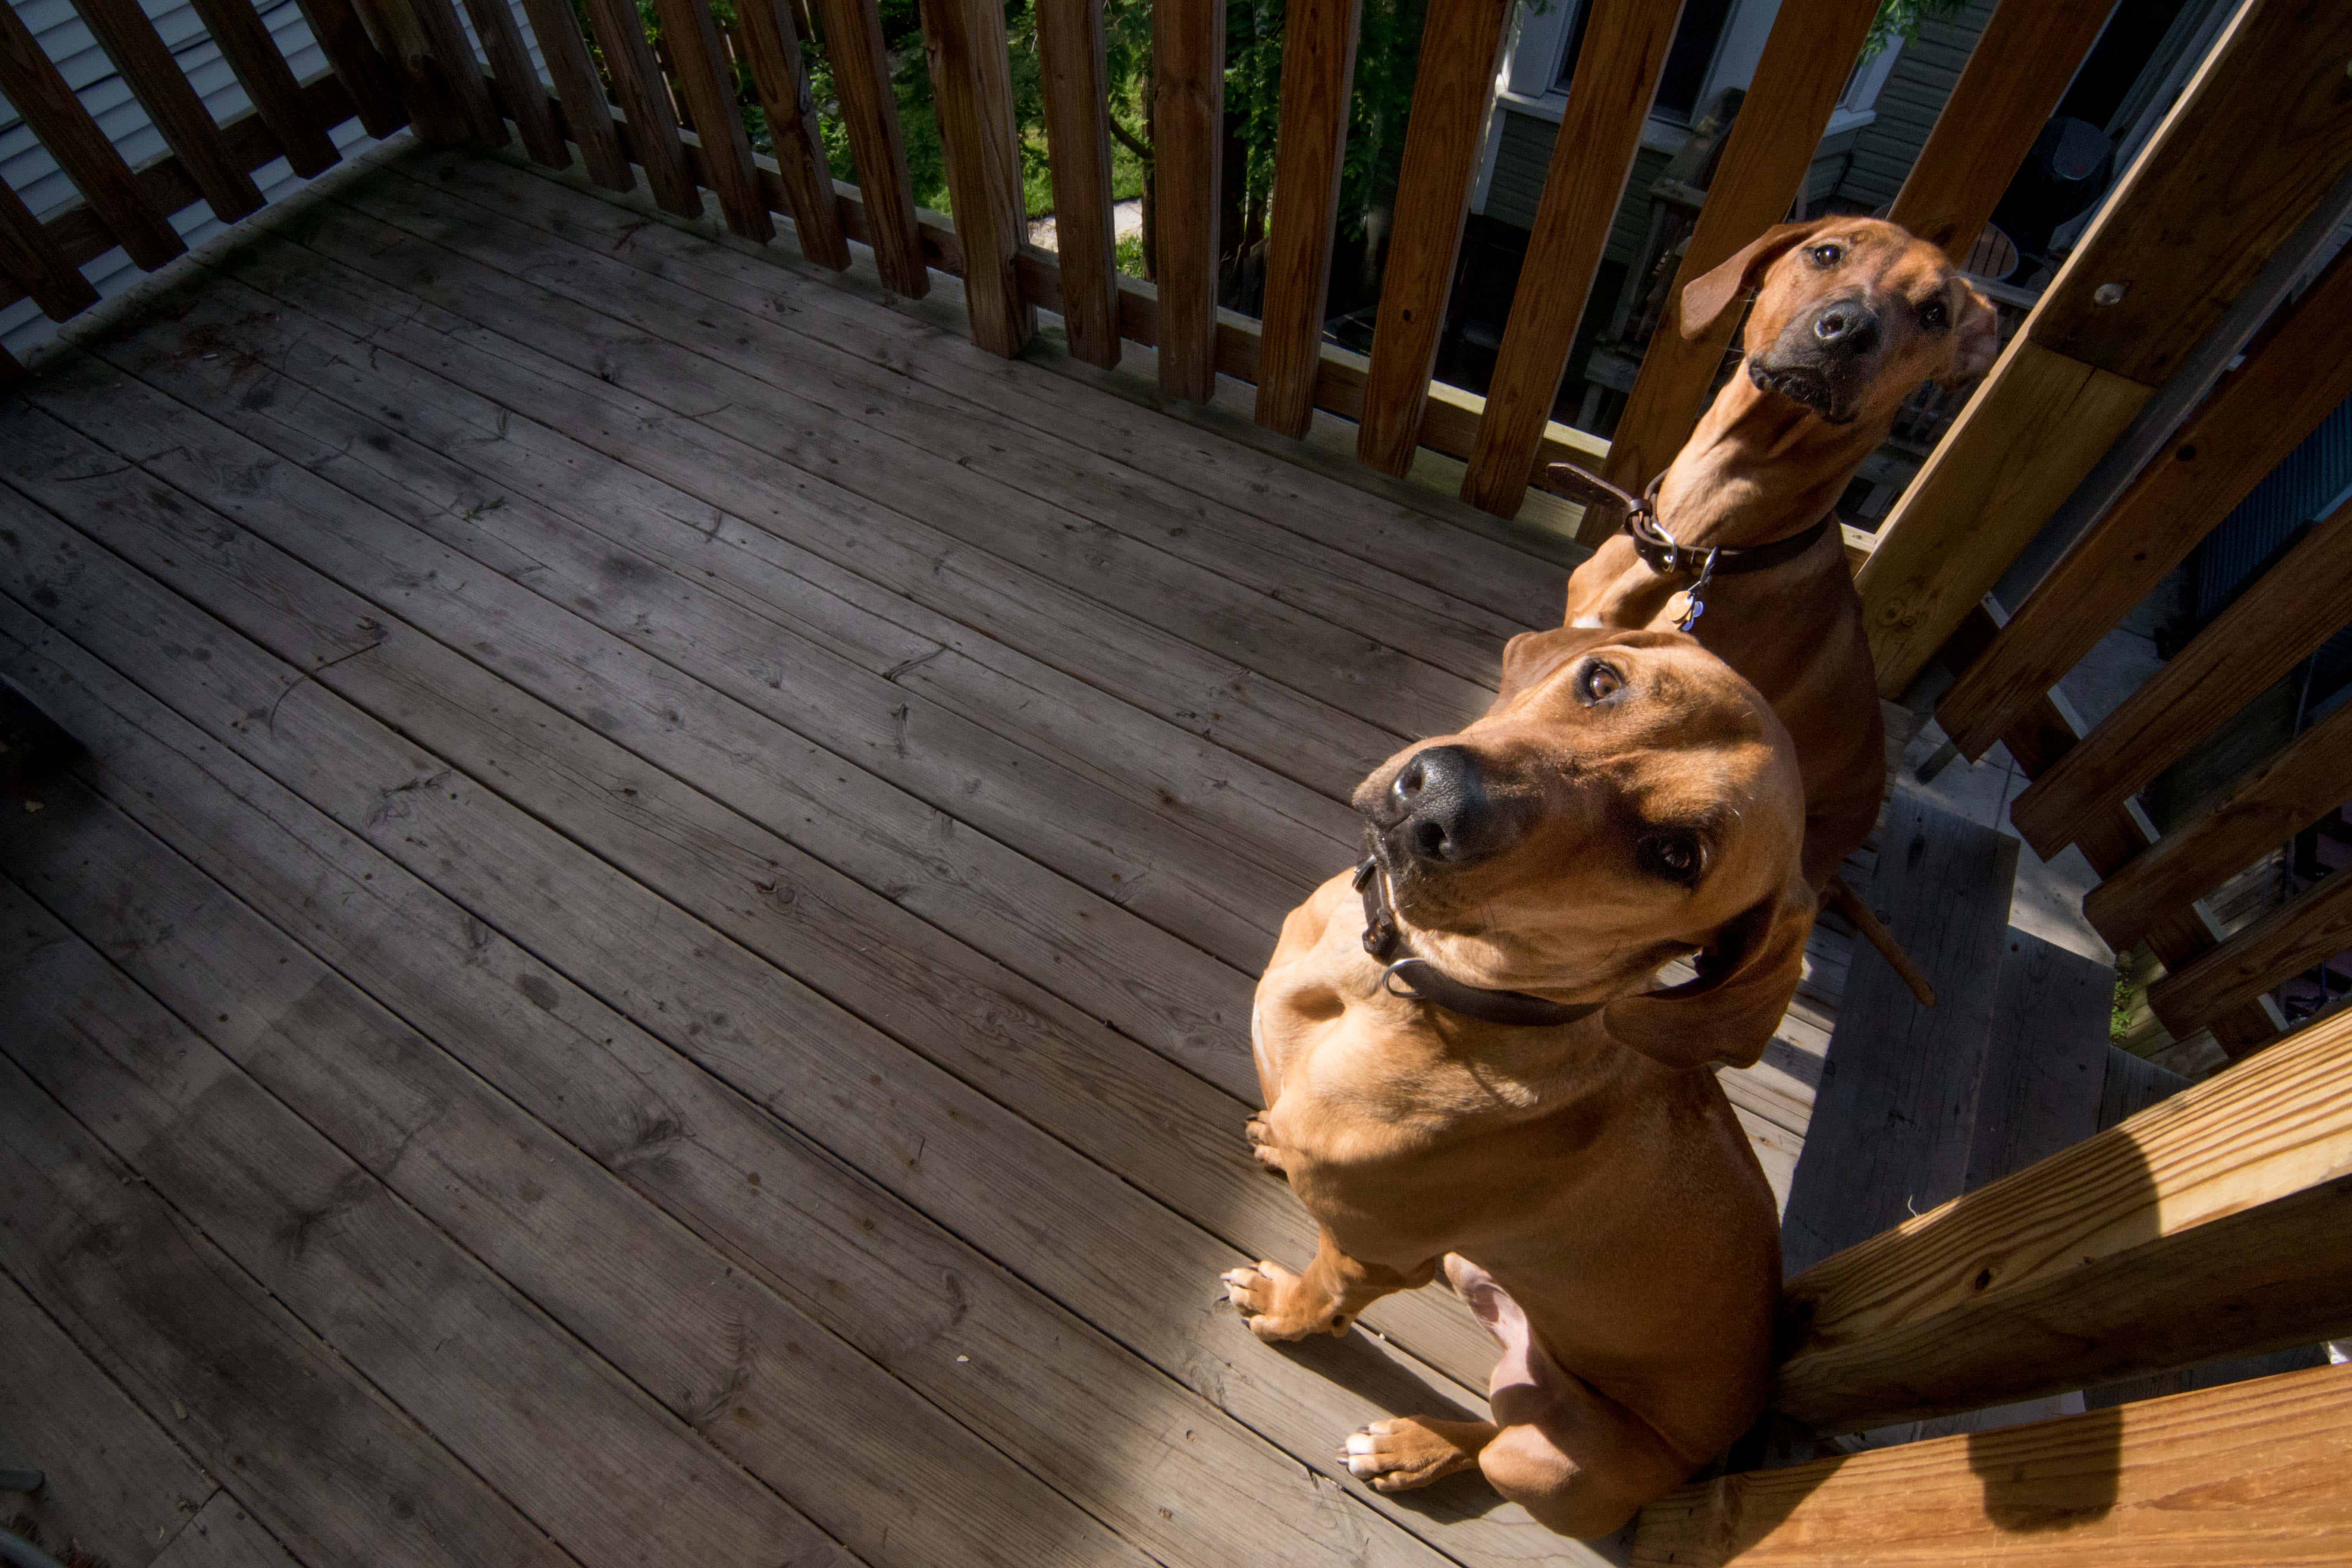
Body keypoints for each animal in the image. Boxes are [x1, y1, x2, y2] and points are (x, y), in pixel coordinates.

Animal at [1223, 630, 1806, 1542]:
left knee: (1494, 1443)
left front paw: (1282, 1305)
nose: (1436, 798)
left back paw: (1412, 1448)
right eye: (1602, 681)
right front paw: (1277, 1142)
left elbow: (1323, 1292)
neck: (1402, 981)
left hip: (1555, 1460)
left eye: (1676, 855)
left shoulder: (1372, 1255)